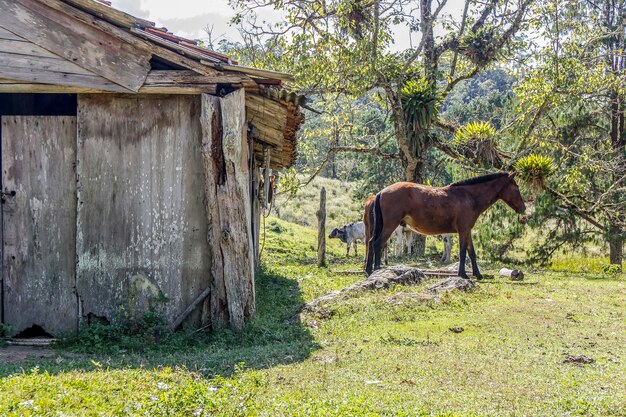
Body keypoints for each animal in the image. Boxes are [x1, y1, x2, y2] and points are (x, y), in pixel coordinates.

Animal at [364, 171, 524, 278]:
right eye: (516, 187)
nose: (523, 208)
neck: (469, 197)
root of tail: (381, 192)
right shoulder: (463, 230)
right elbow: (463, 251)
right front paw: (463, 274)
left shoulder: (467, 230)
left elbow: (471, 252)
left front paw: (477, 274)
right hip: (390, 225)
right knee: (377, 243)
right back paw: (376, 270)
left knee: (371, 243)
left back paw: (369, 270)